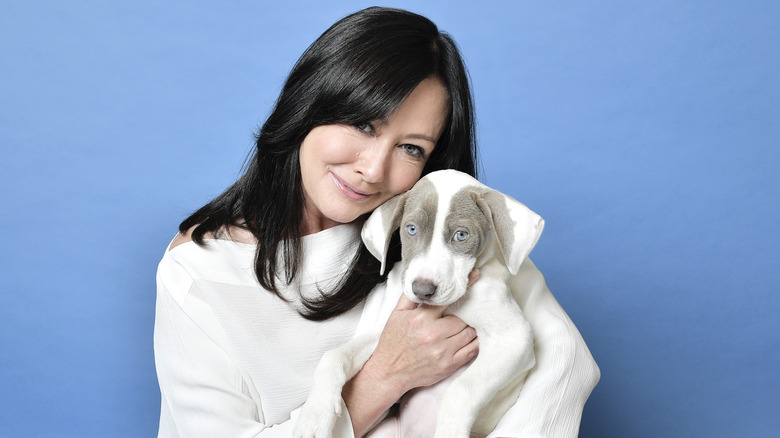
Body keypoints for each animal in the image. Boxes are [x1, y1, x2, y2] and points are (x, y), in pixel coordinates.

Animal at [296, 170, 544, 438]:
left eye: (461, 235)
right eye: (411, 229)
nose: (422, 290)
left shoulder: (514, 340)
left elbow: (463, 388)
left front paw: (450, 432)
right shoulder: (388, 331)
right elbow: (334, 355)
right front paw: (314, 415)